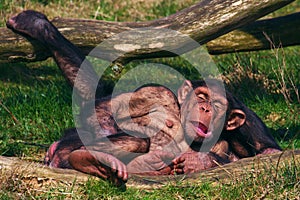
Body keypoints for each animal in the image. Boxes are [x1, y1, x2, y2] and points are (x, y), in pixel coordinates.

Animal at [6, 10, 282, 186]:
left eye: (215, 104)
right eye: (201, 97)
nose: (205, 108)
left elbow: (268, 154)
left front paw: (199, 161)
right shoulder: (155, 93)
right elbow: (109, 107)